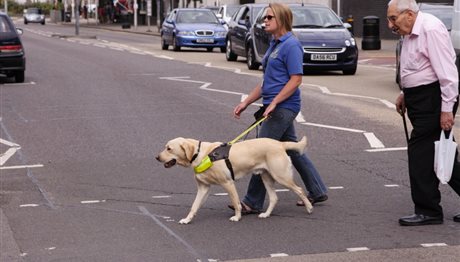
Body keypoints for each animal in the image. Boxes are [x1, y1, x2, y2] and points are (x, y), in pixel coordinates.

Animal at [155, 136, 312, 224]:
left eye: (169, 148)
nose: (157, 157)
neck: (201, 154)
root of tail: (280, 144)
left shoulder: (228, 183)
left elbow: (236, 203)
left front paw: (237, 217)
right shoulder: (203, 188)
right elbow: (194, 206)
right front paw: (187, 219)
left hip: (281, 176)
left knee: (299, 190)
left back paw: (309, 207)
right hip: (266, 177)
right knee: (274, 198)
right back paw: (266, 214)